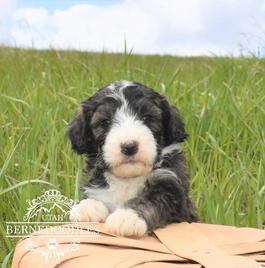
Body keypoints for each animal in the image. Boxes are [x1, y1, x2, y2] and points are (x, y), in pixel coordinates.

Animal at [67, 79, 196, 237]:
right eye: (105, 122)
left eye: (147, 117)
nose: (129, 147)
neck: (128, 179)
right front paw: (88, 206)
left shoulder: (171, 189)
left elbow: (150, 201)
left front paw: (127, 217)